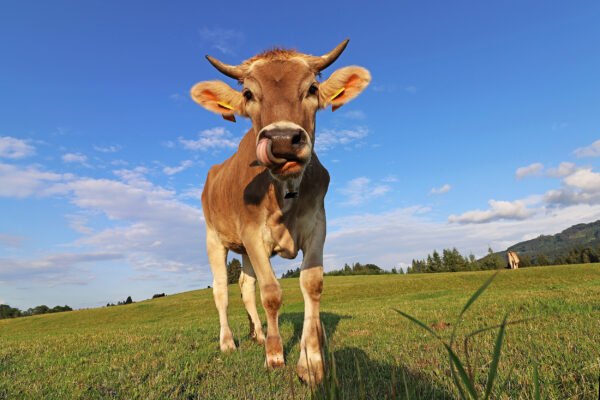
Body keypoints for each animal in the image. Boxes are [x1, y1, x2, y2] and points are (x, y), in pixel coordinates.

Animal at [191, 38, 370, 384]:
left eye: (312, 88)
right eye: (248, 94)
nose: (284, 139)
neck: (285, 191)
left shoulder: (317, 226)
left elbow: (311, 285)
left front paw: (311, 360)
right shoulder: (252, 233)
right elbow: (271, 293)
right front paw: (274, 355)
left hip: (243, 250)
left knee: (245, 286)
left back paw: (257, 333)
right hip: (213, 237)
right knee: (221, 291)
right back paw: (228, 342)